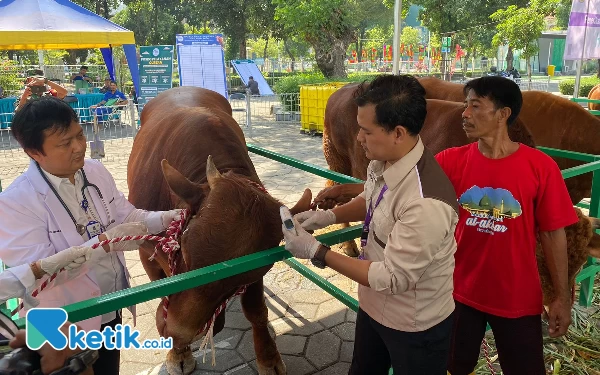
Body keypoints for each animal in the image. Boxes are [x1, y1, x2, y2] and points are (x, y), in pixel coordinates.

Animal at [127, 86, 310, 374]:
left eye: (242, 277)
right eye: (185, 246)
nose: (180, 332)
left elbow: (257, 310)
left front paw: (268, 357)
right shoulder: (147, 252)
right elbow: (161, 288)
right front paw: (178, 352)